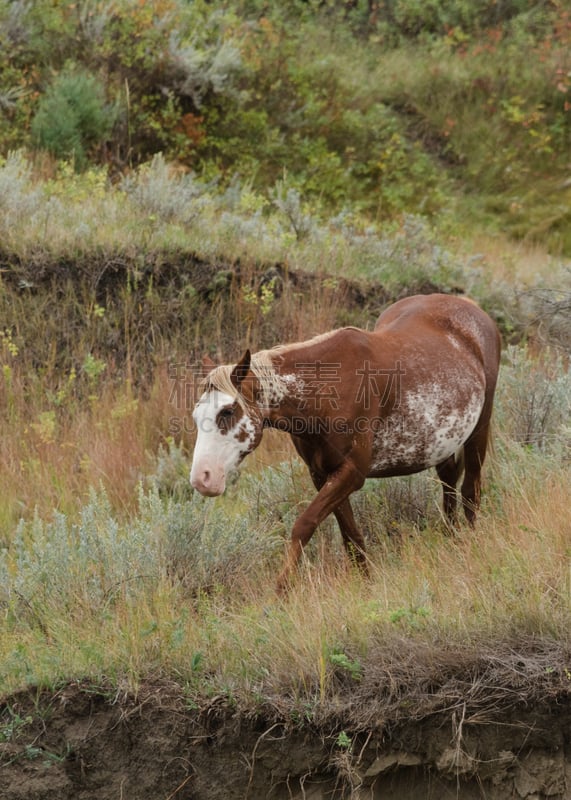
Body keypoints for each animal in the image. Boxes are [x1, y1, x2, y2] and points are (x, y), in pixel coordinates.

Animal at [189, 294, 500, 592]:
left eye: (227, 411)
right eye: (196, 415)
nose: (202, 478)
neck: (328, 392)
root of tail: (471, 308)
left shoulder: (352, 473)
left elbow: (304, 525)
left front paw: (281, 591)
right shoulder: (322, 474)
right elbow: (350, 534)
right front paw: (366, 582)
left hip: (478, 430)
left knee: (470, 490)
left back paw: (470, 544)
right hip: (443, 442)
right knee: (449, 481)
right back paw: (452, 537)